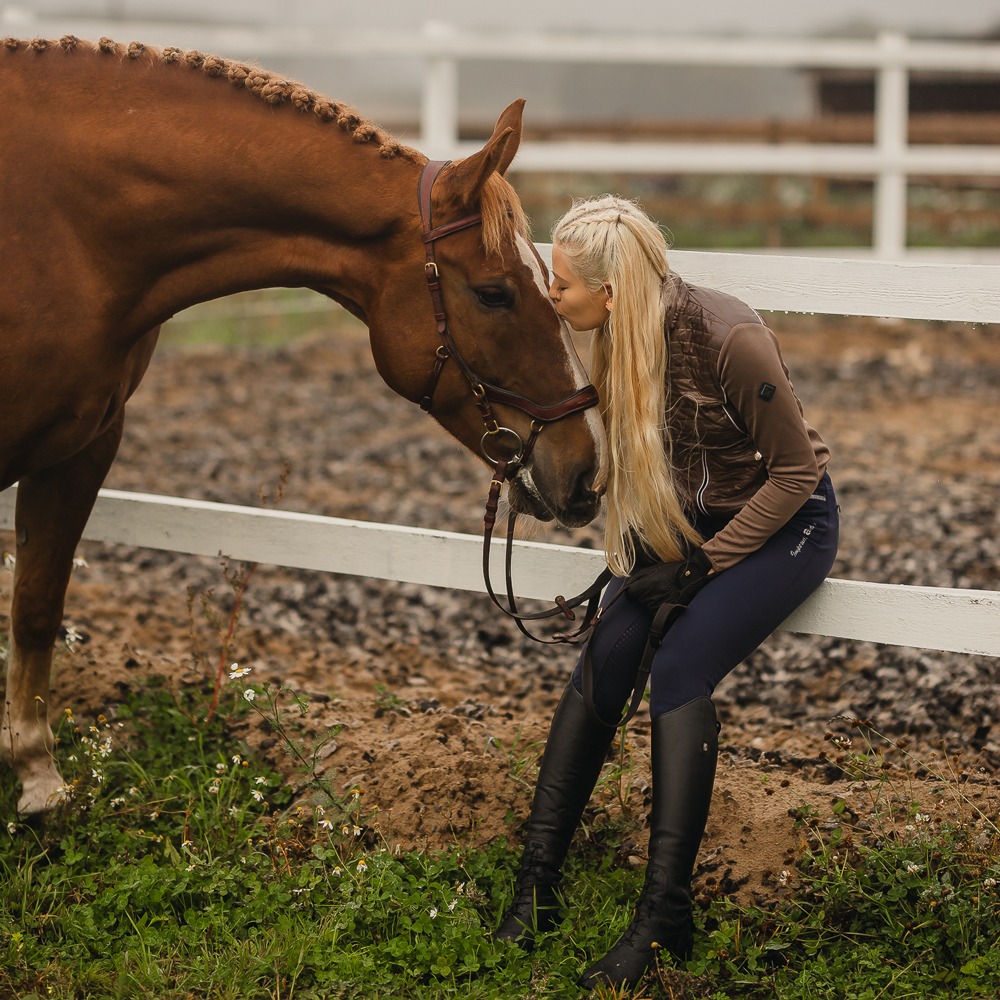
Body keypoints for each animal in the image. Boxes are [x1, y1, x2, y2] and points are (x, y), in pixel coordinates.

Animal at [0, 39, 604, 816]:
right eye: (494, 293)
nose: (585, 470)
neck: (63, 227)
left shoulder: (83, 446)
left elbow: (37, 602)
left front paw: (38, 779)